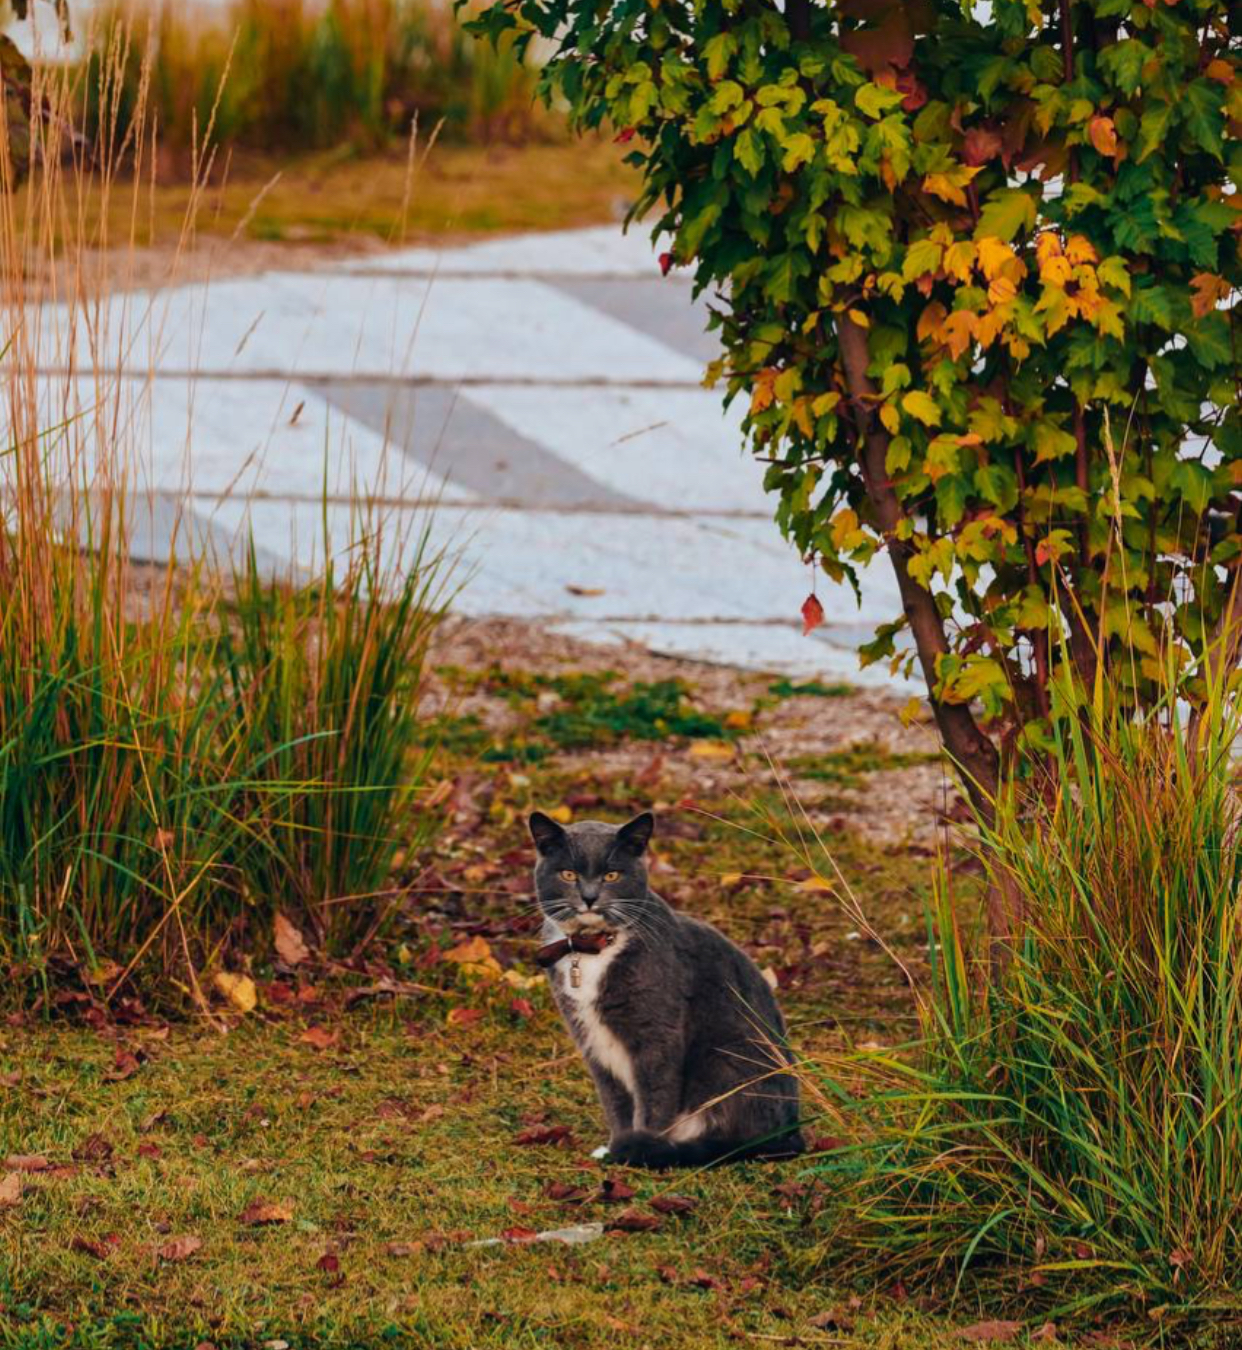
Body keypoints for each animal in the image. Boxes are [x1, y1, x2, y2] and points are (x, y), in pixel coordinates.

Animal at [526, 804, 804, 1166]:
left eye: (612, 875)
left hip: (728, 1060)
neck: (594, 950)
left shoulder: (658, 1032)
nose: (588, 897)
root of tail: (790, 1133)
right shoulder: (591, 1038)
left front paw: (641, 1148)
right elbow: (615, 1099)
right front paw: (616, 1145)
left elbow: (655, 1097)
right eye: (568, 874)